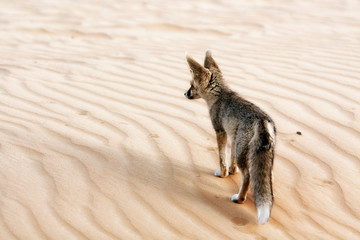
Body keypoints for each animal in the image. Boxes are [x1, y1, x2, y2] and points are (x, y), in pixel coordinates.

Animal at [186, 50, 276, 225]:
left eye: (192, 85)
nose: (185, 94)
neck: (219, 96)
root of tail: (262, 119)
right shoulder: (233, 137)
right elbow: (231, 159)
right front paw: (232, 171)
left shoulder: (220, 132)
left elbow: (222, 158)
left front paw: (222, 174)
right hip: (259, 155)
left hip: (244, 152)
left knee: (247, 176)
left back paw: (239, 198)